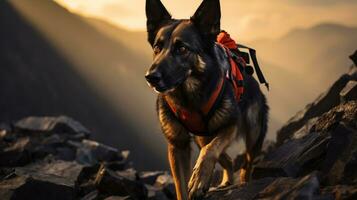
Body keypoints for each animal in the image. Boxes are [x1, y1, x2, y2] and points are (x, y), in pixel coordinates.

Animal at [144, 0, 268, 198]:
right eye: (157, 47)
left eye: (182, 48)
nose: (151, 77)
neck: (189, 98)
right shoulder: (177, 146)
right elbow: (181, 187)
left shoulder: (230, 126)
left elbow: (210, 150)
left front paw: (199, 178)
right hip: (202, 136)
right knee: (227, 159)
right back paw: (225, 182)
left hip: (253, 135)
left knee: (245, 164)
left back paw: (242, 183)